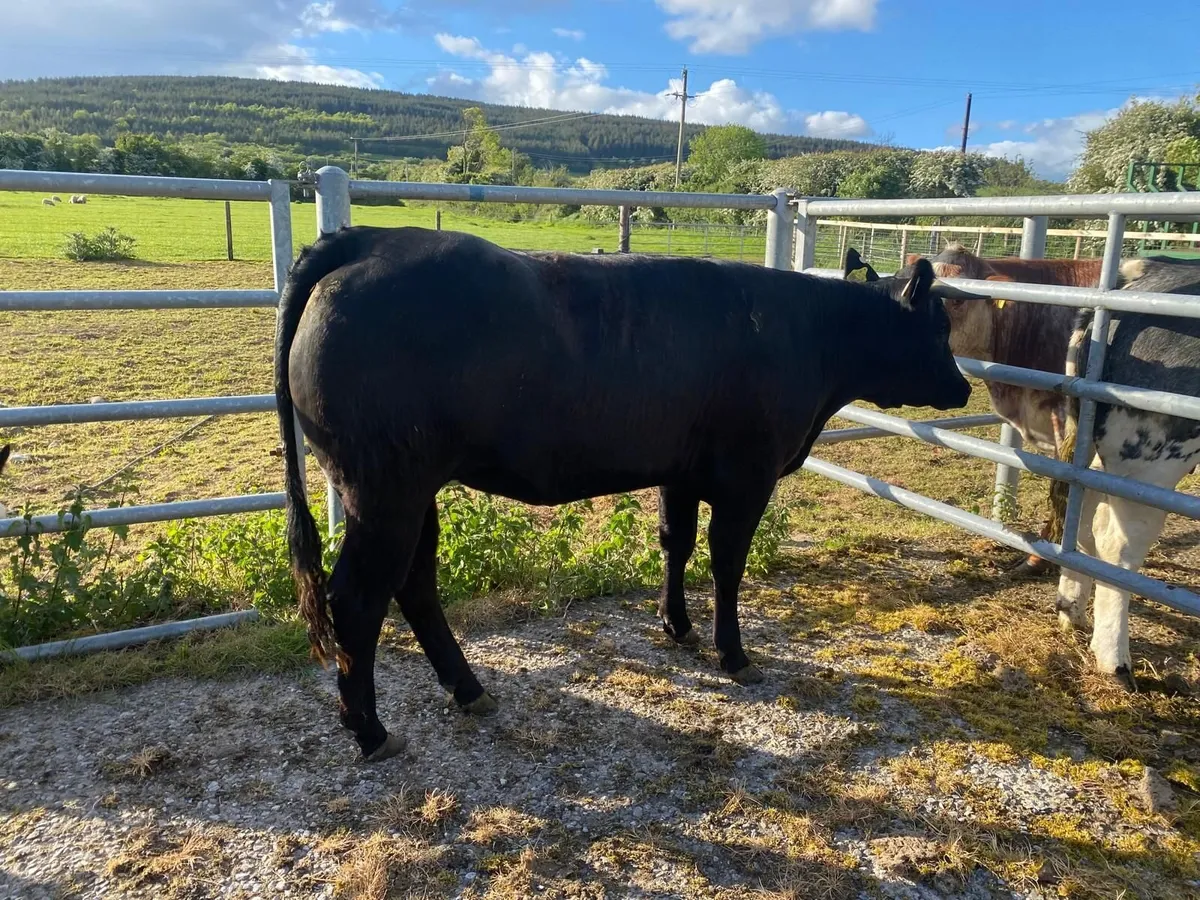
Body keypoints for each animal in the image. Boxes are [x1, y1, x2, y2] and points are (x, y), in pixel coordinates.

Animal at [274, 227, 973, 761]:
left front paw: (675, 625)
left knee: (415, 582)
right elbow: (727, 561)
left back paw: (468, 689)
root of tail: (372, 239)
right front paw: (732, 653)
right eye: (940, 328)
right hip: (382, 489)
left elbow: (676, 542)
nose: (965, 387)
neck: (807, 335)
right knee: (359, 597)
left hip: (411, 489)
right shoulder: (748, 474)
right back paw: (370, 731)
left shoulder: (681, 468)